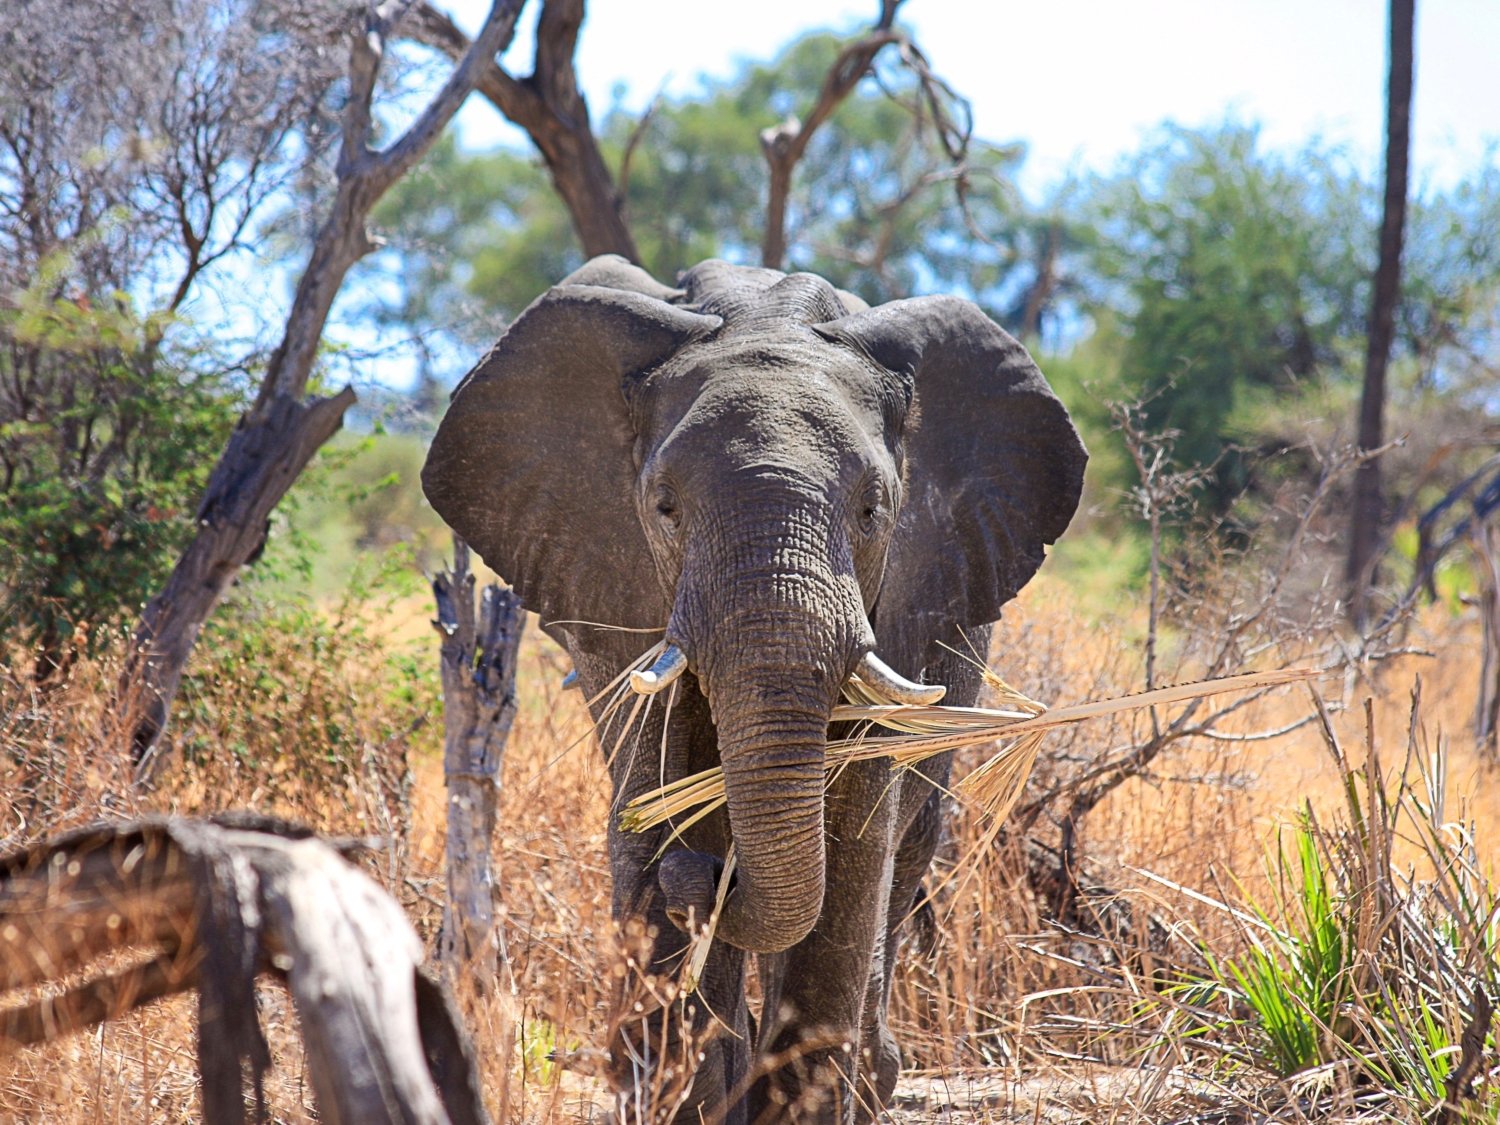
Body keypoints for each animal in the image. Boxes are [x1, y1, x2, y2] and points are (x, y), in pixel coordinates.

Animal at [423, 258, 1092, 1125]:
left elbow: (852, 842)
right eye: (665, 507)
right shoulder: (620, 589)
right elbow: (653, 800)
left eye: (872, 508)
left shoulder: (901, 608)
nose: (709, 877)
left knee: (905, 849)